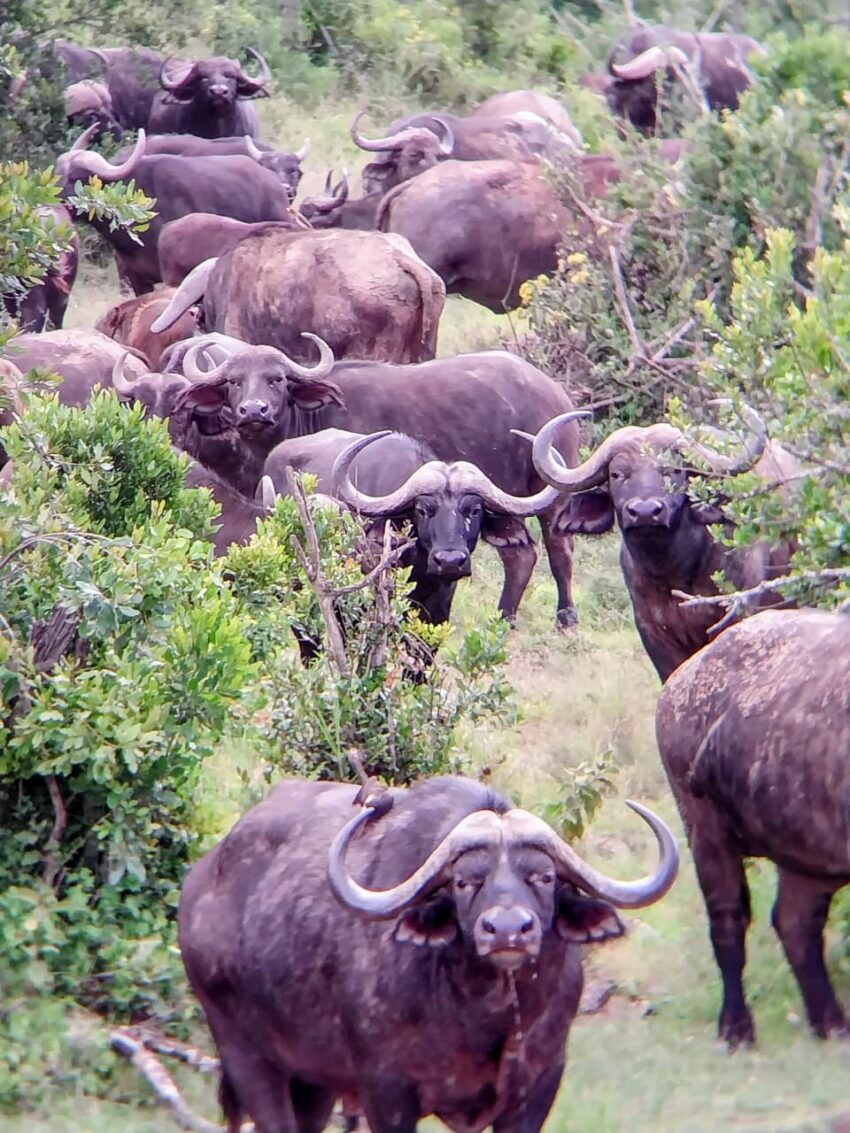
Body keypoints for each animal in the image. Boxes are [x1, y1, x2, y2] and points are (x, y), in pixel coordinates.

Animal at [114, 342, 584, 626]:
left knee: (558, 551)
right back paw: (506, 618)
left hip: (551, 494)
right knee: (521, 554)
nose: (253, 411)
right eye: (233, 382)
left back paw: (565, 618)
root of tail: (553, 390)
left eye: (277, 379)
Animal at [179, 775, 677, 1133]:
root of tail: (201, 880)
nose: (508, 931)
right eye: (464, 881)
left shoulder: (537, 1087)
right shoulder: (387, 1093)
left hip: (312, 1080)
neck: (482, 1019)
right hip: (245, 1055)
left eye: (544, 876)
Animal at [525, 412, 796, 680]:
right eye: (617, 474)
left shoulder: (737, 612)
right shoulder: (652, 634)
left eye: (673, 470)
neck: (675, 573)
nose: (645, 512)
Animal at [656, 608, 850, 1046]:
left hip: (806, 852)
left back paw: (831, 1023)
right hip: (705, 830)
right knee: (728, 921)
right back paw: (736, 1028)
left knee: (795, 923)